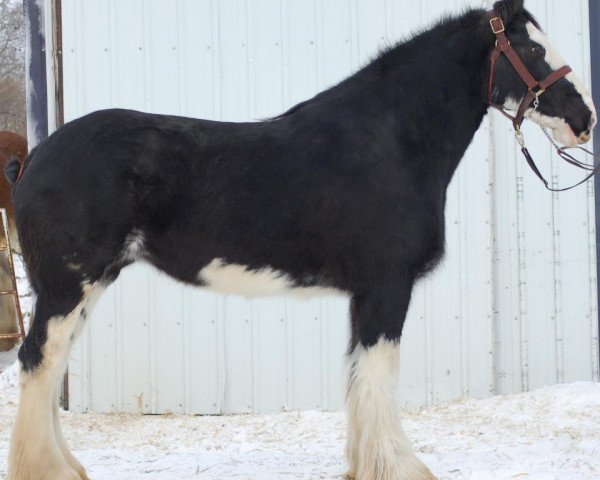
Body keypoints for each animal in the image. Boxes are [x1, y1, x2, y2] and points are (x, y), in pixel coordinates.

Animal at [4, 0, 596, 480]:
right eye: (532, 48)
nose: (583, 118)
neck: (392, 143)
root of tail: (34, 158)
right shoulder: (386, 287)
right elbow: (378, 375)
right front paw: (397, 466)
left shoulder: (366, 294)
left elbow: (358, 374)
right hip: (68, 285)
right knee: (38, 359)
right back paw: (47, 469)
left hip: (86, 283)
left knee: (51, 363)